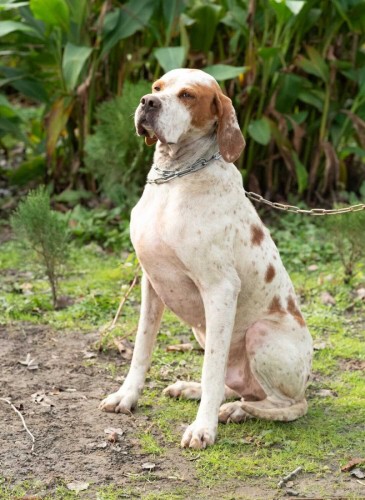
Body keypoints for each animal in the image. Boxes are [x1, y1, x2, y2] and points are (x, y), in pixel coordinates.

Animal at [99, 67, 310, 450]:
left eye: (188, 95)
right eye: (156, 87)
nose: (148, 103)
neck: (173, 180)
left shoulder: (220, 291)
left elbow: (211, 368)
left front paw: (203, 429)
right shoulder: (151, 283)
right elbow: (141, 350)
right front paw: (127, 396)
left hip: (259, 334)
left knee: (287, 404)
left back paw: (238, 411)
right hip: (203, 331)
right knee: (234, 385)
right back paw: (195, 390)